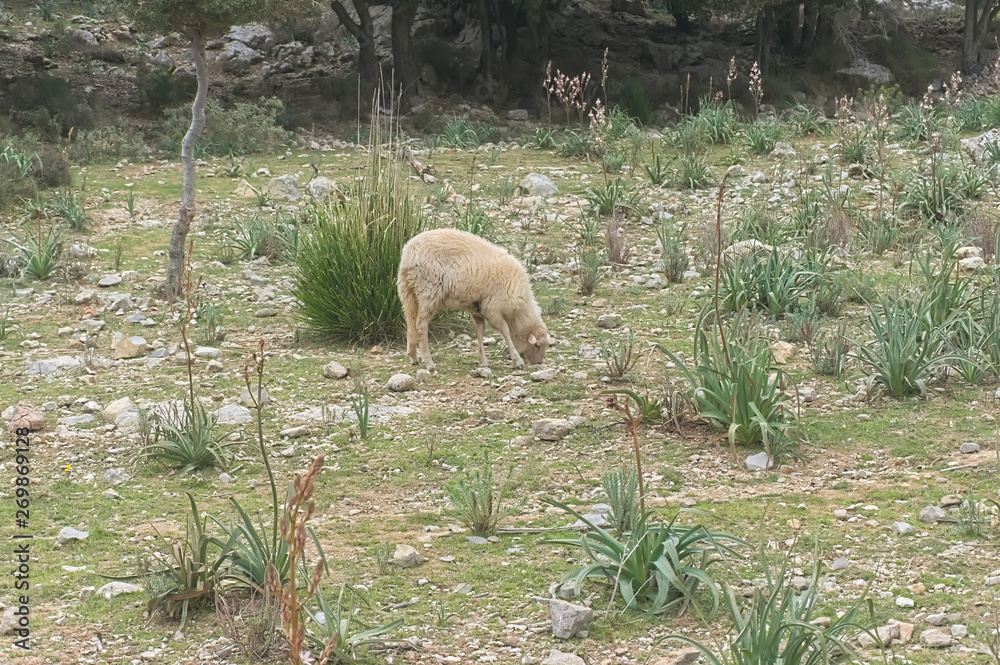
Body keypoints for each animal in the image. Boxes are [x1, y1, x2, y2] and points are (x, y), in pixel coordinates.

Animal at [397, 228, 549, 372]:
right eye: (537, 345)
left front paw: (483, 361)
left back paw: (413, 357)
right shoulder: (492, 309)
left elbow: (480, 332)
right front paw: (517, 360)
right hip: (429, 291)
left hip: (407, 291)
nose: (539, 362)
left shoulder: (478, 310)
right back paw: (429, 363)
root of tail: (409, 253)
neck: (518, 311)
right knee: (421, 325)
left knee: (410, 322)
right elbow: (505, 332)